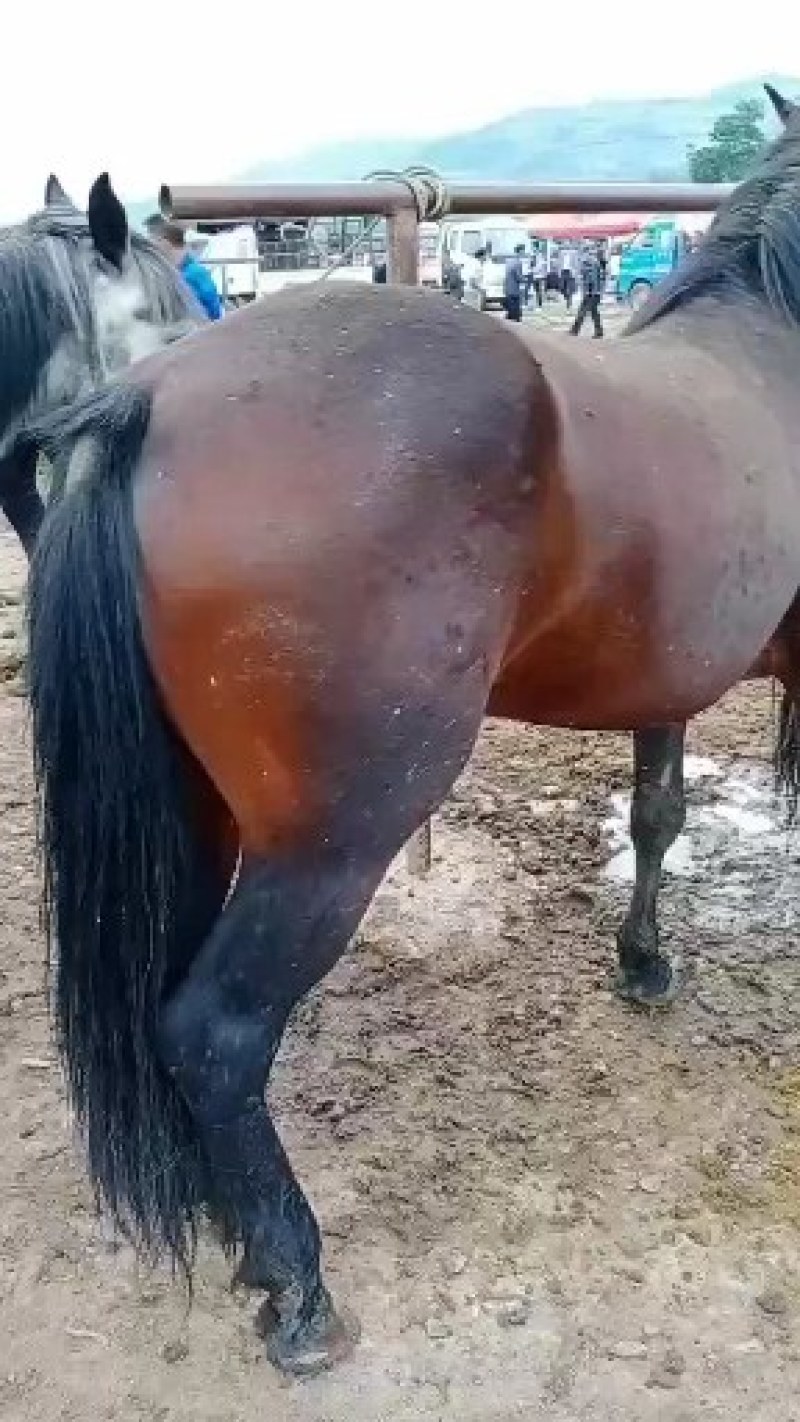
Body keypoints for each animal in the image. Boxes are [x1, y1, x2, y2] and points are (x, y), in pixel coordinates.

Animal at [26, 86, 800, 1375]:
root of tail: (148, 397)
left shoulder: (664, 676)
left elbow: (656, 813)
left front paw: (642, 961)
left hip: (198, 816)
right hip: (332, 843)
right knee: (215, 1031)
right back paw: (296, 1287)